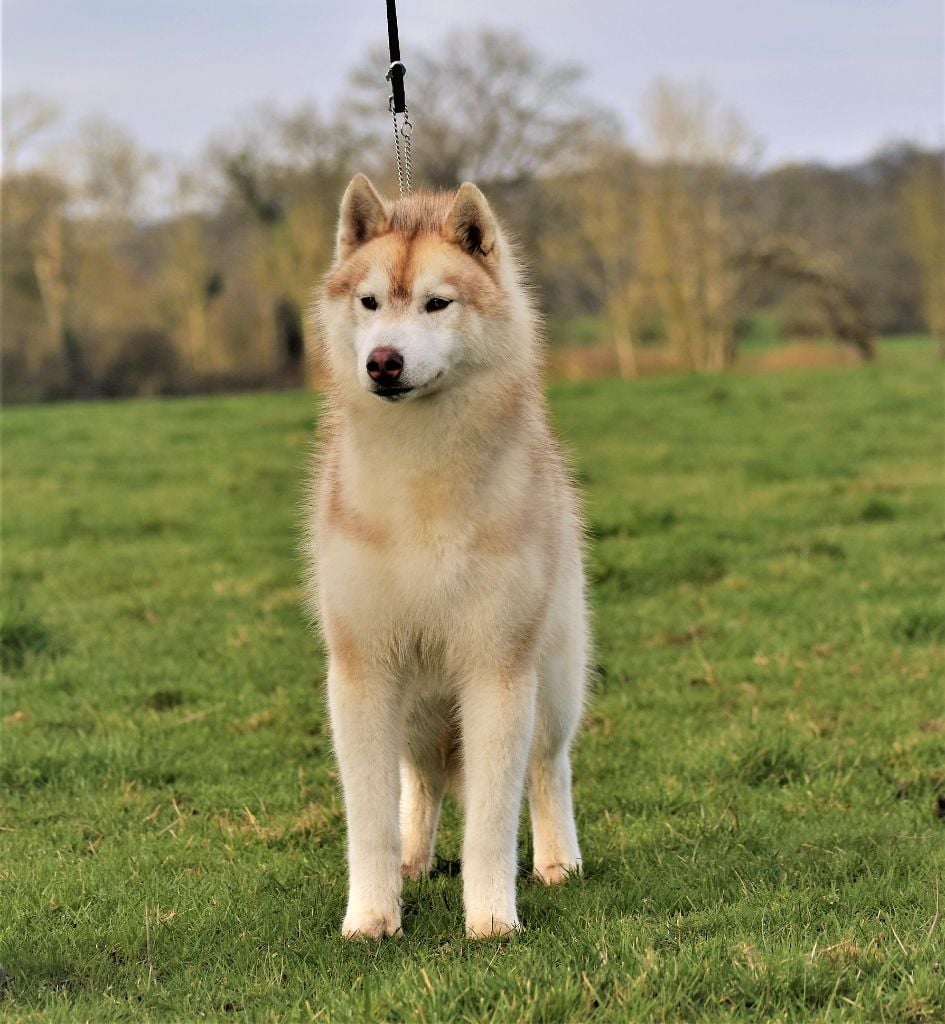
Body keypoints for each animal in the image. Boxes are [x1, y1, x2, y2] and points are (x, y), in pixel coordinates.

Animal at [307, 174, 589, 939]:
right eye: (369, 301)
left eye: (438, 303)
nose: (383, 361)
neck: (423, 480)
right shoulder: (363, 670)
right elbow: (367, 819)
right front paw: (370, 915)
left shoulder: (497, 669)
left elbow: (492, 817)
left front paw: (491, 918)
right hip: (415, 714)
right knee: (423, 781)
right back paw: (413, 856)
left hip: (552, 682)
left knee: (548, 770)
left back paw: (559, 860)